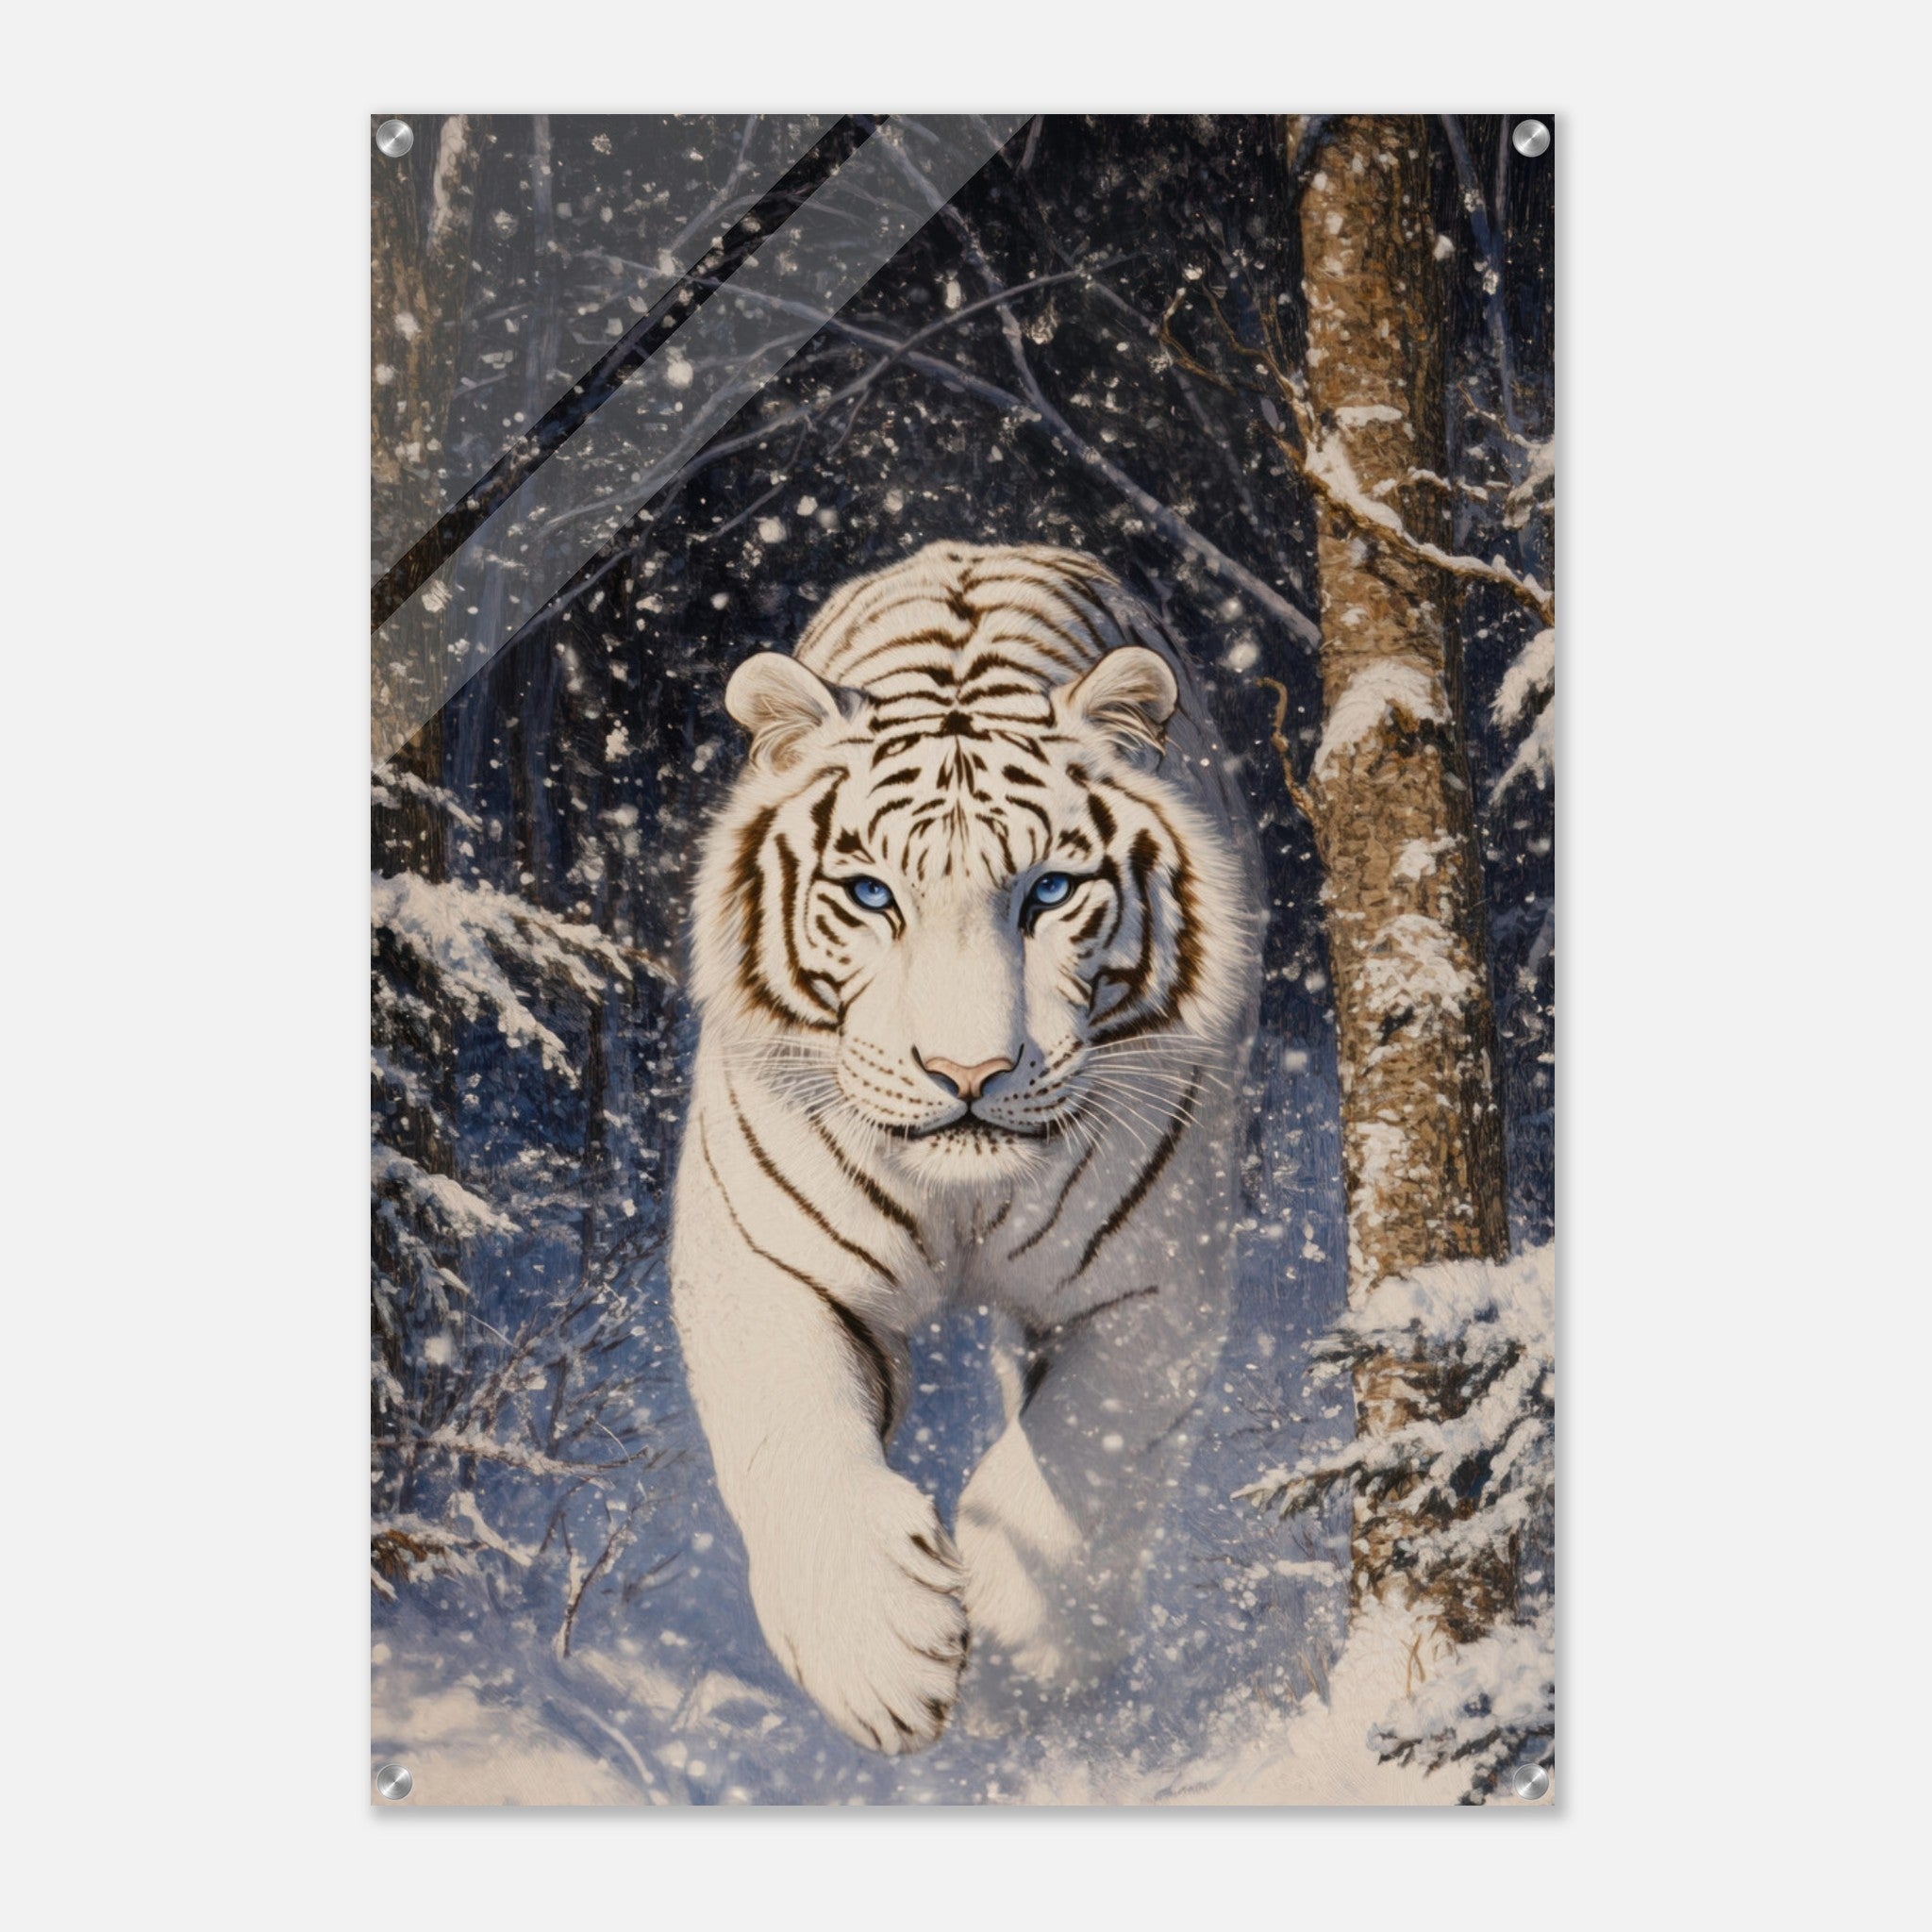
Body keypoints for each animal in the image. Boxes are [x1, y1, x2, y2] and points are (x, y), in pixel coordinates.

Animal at [671, 540, 1261, 1754]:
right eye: (868, 894)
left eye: (1049, 890)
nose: (966, 1074)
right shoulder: (761, 1257)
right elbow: (791, 1432)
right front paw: (876, 1652)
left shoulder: (1150, 1279)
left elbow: (1083, 1458)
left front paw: (1023, 1661)